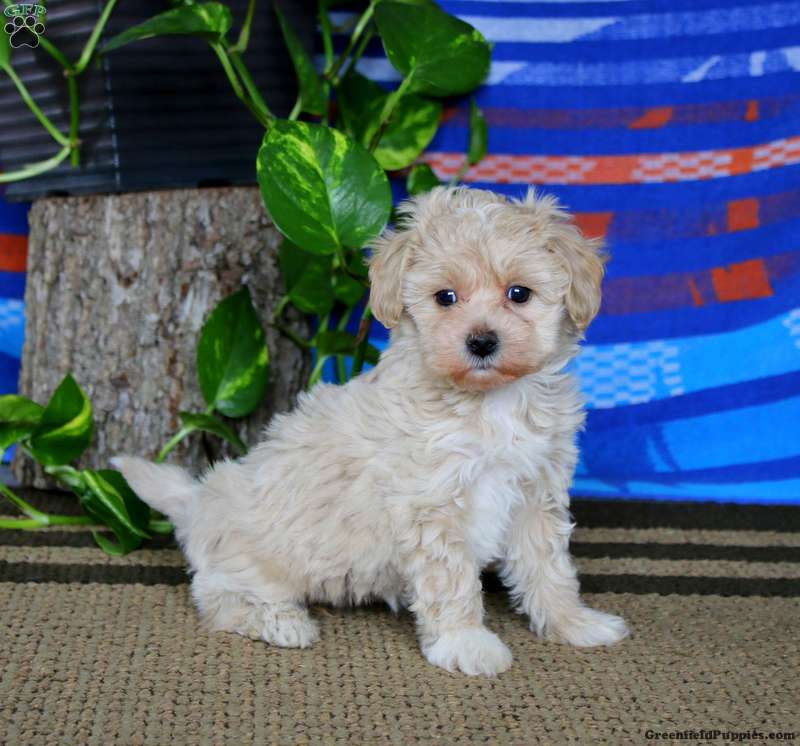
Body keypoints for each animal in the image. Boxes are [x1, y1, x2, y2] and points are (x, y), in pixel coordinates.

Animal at [114, 186, 628, 676]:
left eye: (519, 293)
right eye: (445, 297)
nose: (481, 342)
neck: (488, 402)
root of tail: (198, 501)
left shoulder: (536, 493)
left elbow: (548, 567)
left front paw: (573, 622)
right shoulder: (431, 506)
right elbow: (452, 582)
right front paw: (466, 643)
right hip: (253, 561)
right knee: (216, 597)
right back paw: (282, 622)